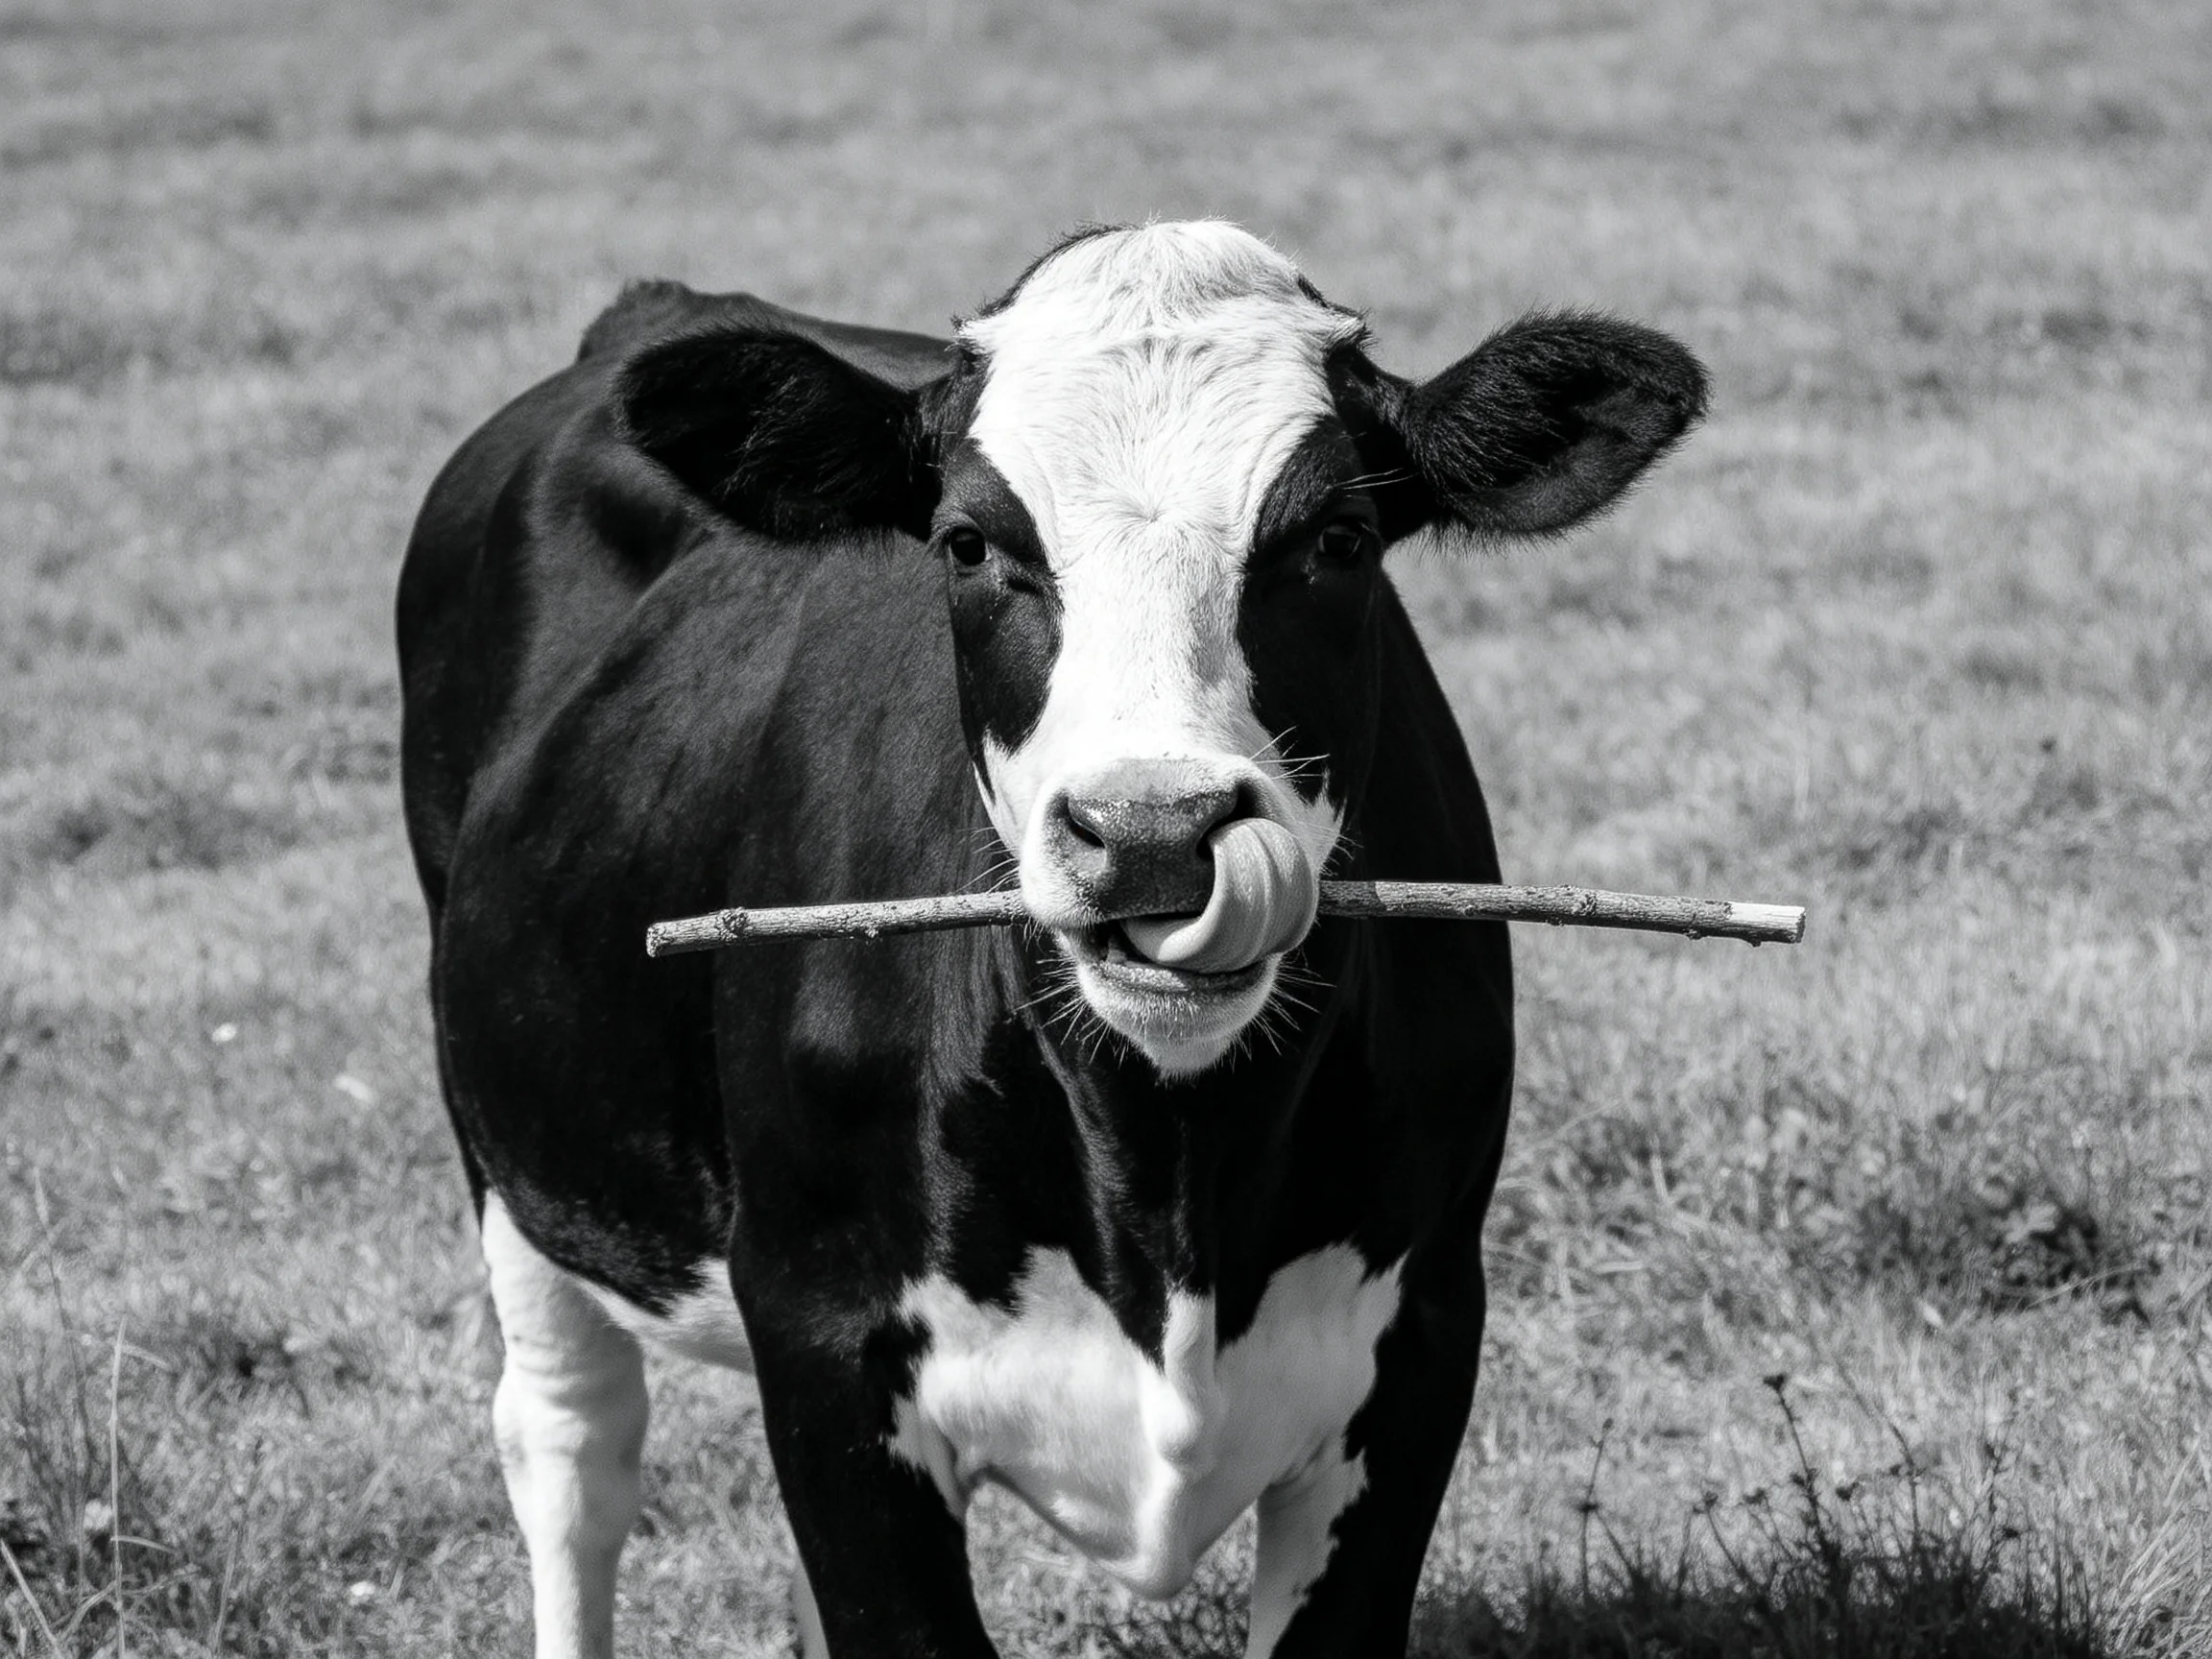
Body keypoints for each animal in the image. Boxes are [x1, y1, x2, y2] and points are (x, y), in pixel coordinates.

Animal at [397, 220, 1706, 1659]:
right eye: (968, 544)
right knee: (572, 1451)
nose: (1153, 834)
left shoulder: (1422, 1342)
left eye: (1342, 536)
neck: (1166, 1181)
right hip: (509, 1150)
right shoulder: (823, 1340)